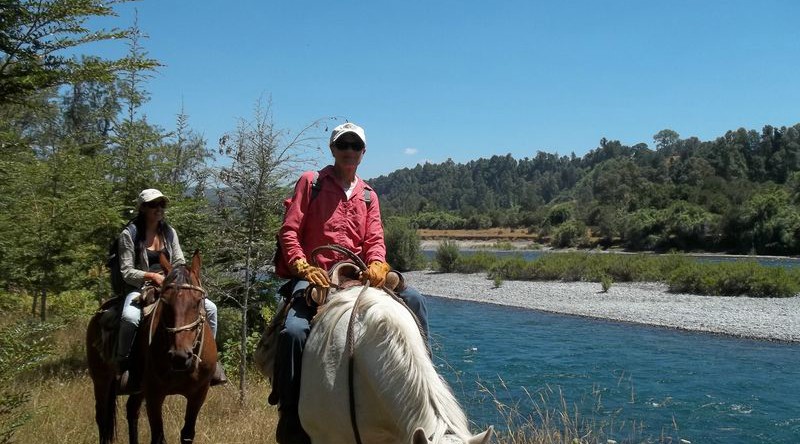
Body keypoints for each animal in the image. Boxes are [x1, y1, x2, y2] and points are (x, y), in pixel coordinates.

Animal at [87, 251, 216, 442]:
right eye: (165, 302)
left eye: (198, 301)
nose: (179, 357)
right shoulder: (154, 395)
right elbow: (158, 437)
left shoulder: (198, 394)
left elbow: (187, 434)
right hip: (101, 381)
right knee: (102, 419)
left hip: (136, 388)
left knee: (132, 411)